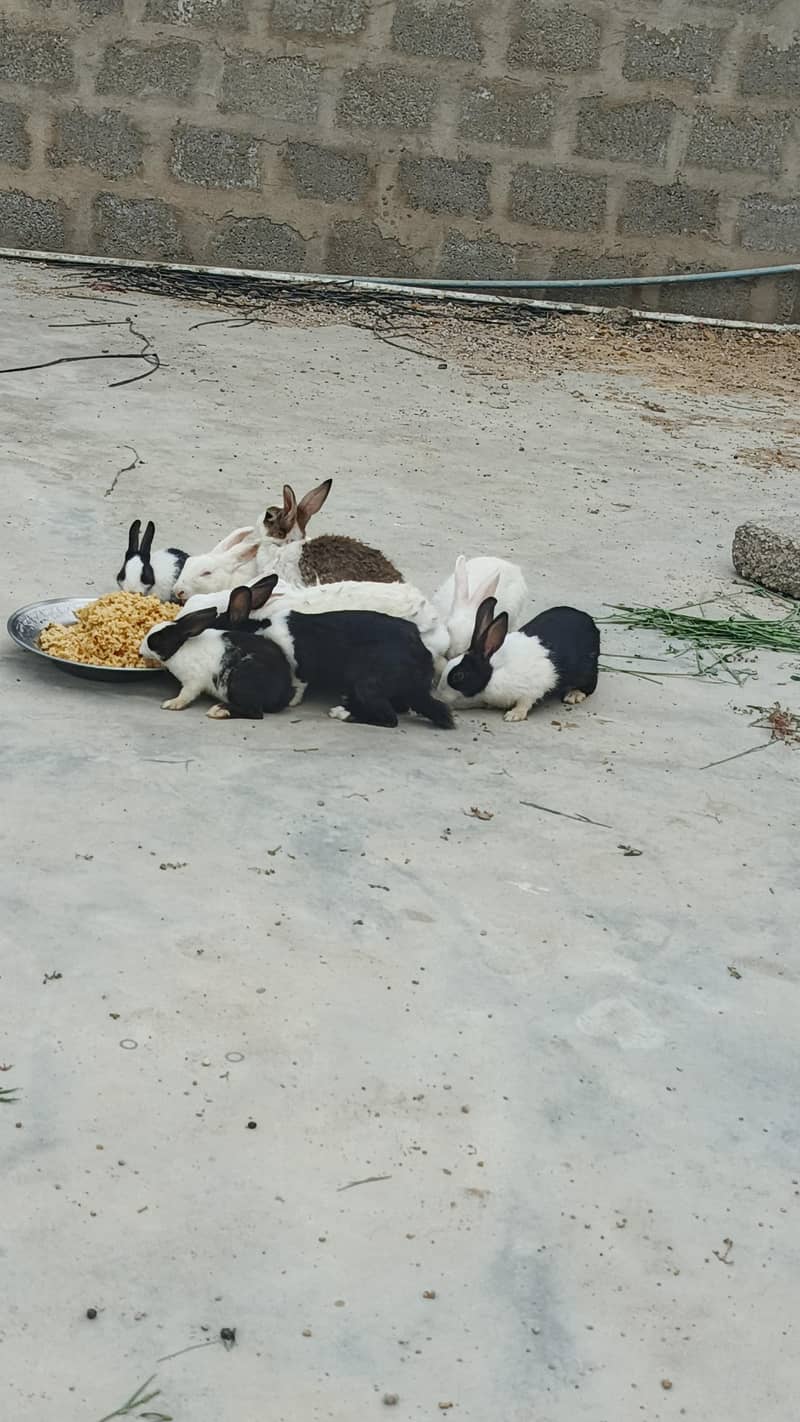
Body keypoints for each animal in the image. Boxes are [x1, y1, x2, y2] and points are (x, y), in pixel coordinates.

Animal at [140, 586, 293, 719]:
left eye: (156, 639)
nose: (141, 651)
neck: (181, 648)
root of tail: (282, 694)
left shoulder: (193, 681)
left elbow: (186, 694)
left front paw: (172, 703)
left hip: (240, 681)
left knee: (255, 712)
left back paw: (218, 710)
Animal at [250, 598, 454, 729]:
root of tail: (420, 651)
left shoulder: (299, 664)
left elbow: (298, 682)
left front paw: (292, 701)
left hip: (368, 685)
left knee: (390, 719)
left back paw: (342, 713)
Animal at [438, 597, 599, 723]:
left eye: (459, 675)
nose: (440, 695)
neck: (494, 672)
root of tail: (588, 620)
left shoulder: (532, 690)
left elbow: (525, 703)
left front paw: (513, 715)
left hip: (587, 670)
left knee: (590, 685)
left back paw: (574, 695)